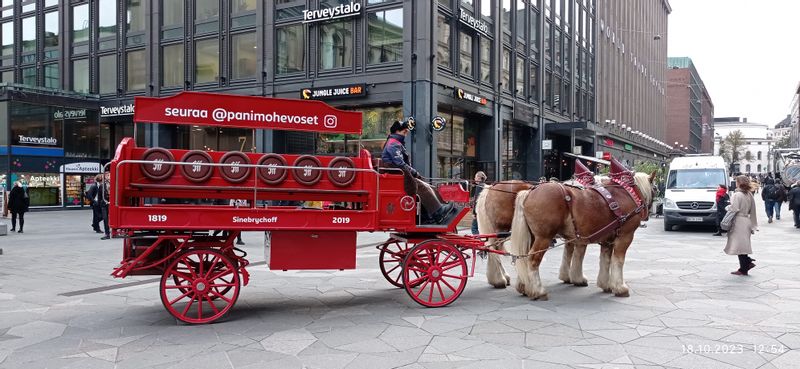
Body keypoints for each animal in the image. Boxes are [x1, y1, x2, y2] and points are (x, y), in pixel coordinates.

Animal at [506, 172, 656, 300]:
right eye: (655, 190)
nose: (649, 215)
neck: (627, 193)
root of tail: (530, 191)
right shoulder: (625, 237)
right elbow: (618, 261)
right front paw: (620, 288)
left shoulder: (608, 240)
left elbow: (605, 261)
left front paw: (606, 284)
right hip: (544, 238)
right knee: (532, 260)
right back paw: (538, 290)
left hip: (532, 236)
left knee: (523, 257)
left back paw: (524, 287)